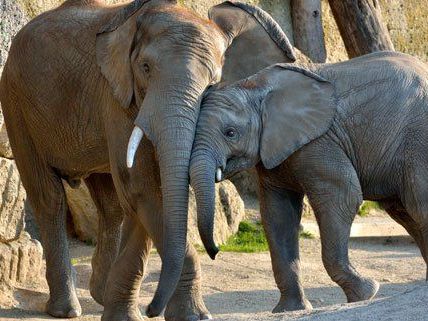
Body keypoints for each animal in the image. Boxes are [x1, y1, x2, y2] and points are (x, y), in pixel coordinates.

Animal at [0, 0, 294, 320]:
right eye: (145, 67)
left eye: (214, 83)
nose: (153, 309)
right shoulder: (115, 95)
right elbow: (143, 187)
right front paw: (187, 315)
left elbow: (149, 195)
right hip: (16, 99)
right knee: (49, 197)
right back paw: (66, 310)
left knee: (111, 204)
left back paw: (100, 295)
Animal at [191, 52, 428, 310]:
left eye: (230, 133)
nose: (215, 252)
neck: (253, 87)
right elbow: (277, 214)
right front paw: (290, 309)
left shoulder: (320, 142)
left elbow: (343, 196)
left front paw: (366, 293)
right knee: (405, 213)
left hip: (418, 140)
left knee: (418, 206)